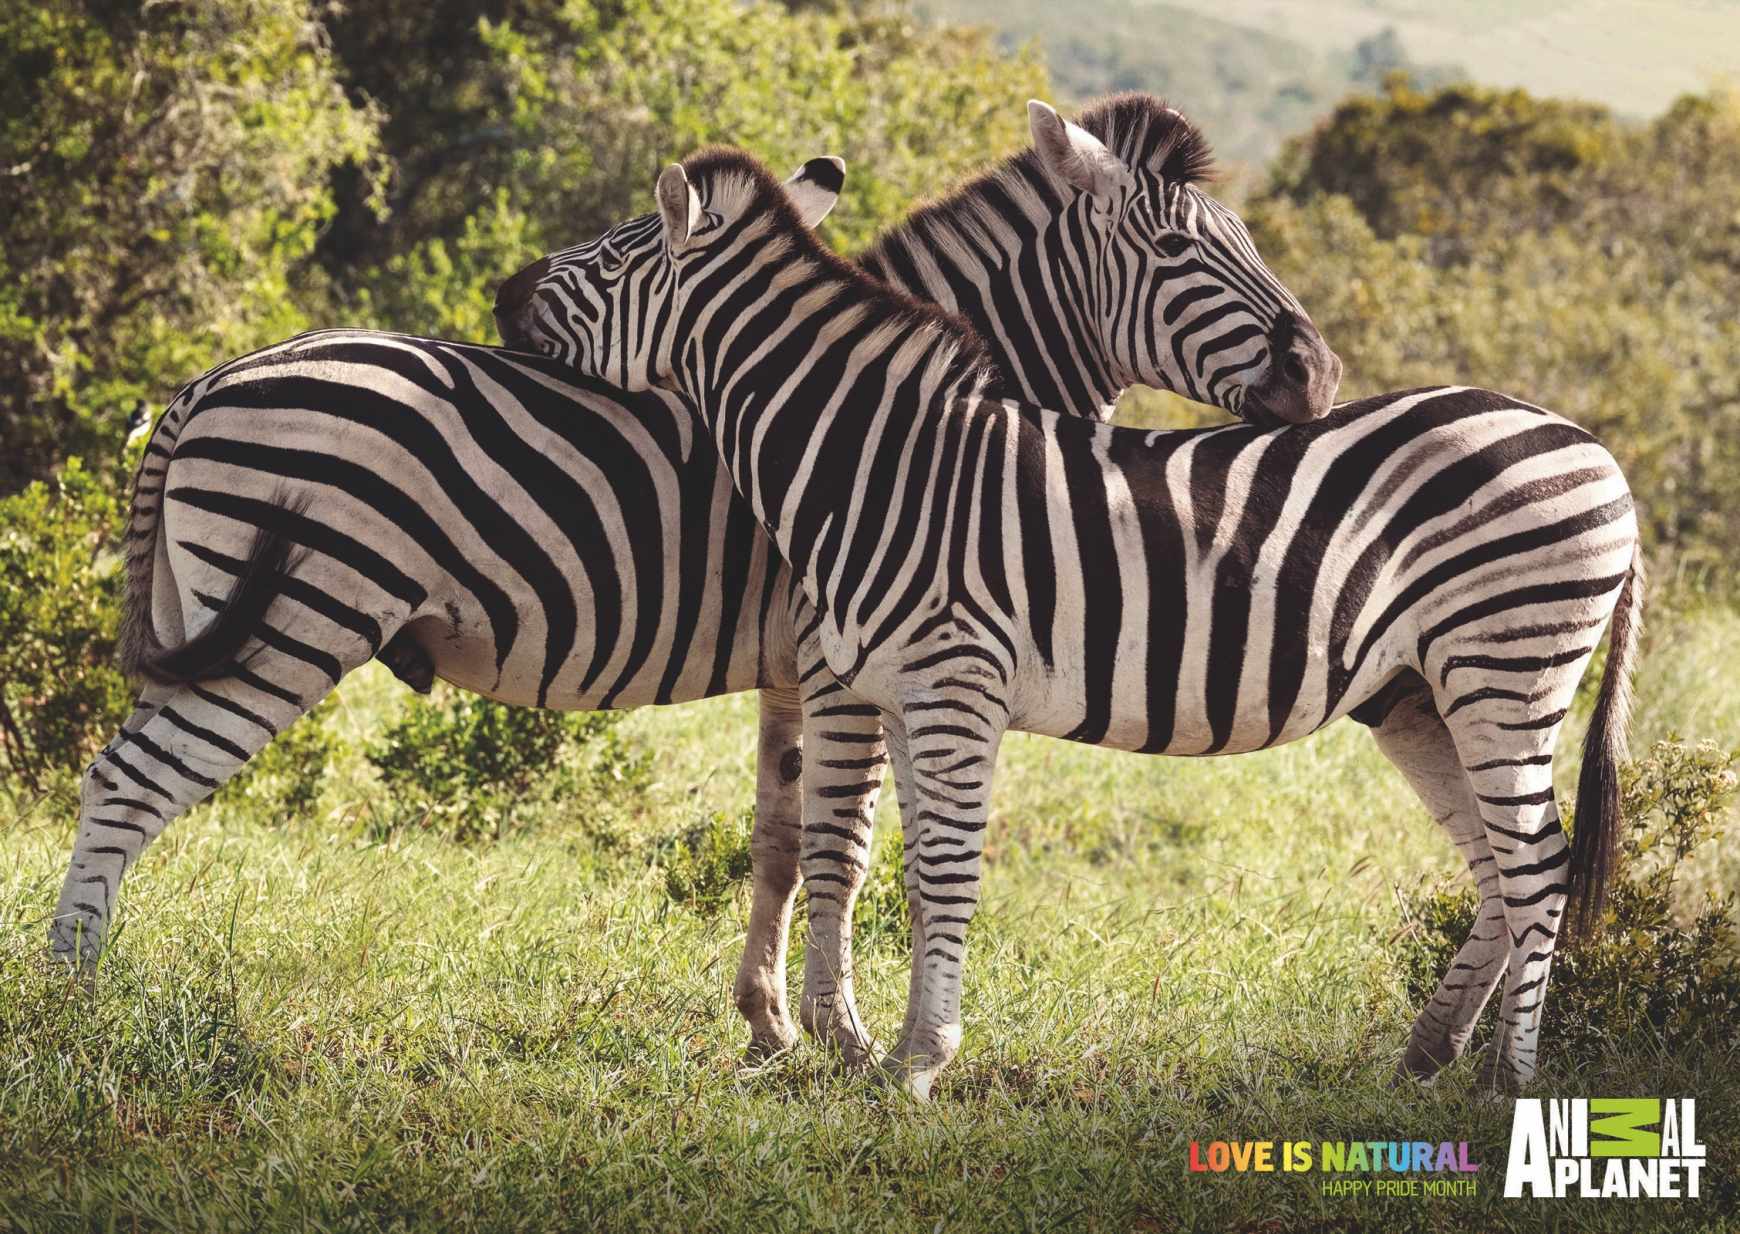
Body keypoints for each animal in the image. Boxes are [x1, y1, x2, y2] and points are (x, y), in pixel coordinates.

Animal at [48, 99, 1337, 1069]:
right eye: (1179, 253)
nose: (1319, 374)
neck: (890, 427)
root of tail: (206, 381)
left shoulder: (797, 666)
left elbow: (776, 835)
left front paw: (768, 1025)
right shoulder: (845, 655)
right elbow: (842, 843)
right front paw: (842, 1037)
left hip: (203, 611)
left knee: (121, 773)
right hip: (293, 622)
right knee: (131, 780)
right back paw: (76, 999)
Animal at [493, 138, 1641, 1099]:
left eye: (613, 255)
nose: (503, 294)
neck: (876, 458)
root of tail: (1595, 449)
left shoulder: (952, 684)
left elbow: (940, 870)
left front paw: (917, 1064)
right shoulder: (901, 694)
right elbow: (911, 871)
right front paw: (893, 1053)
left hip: (1506, 667)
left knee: (1537, 863)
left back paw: (1510, 1083)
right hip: (1422, 693)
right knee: (1496, 864)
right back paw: (1426, 1057)